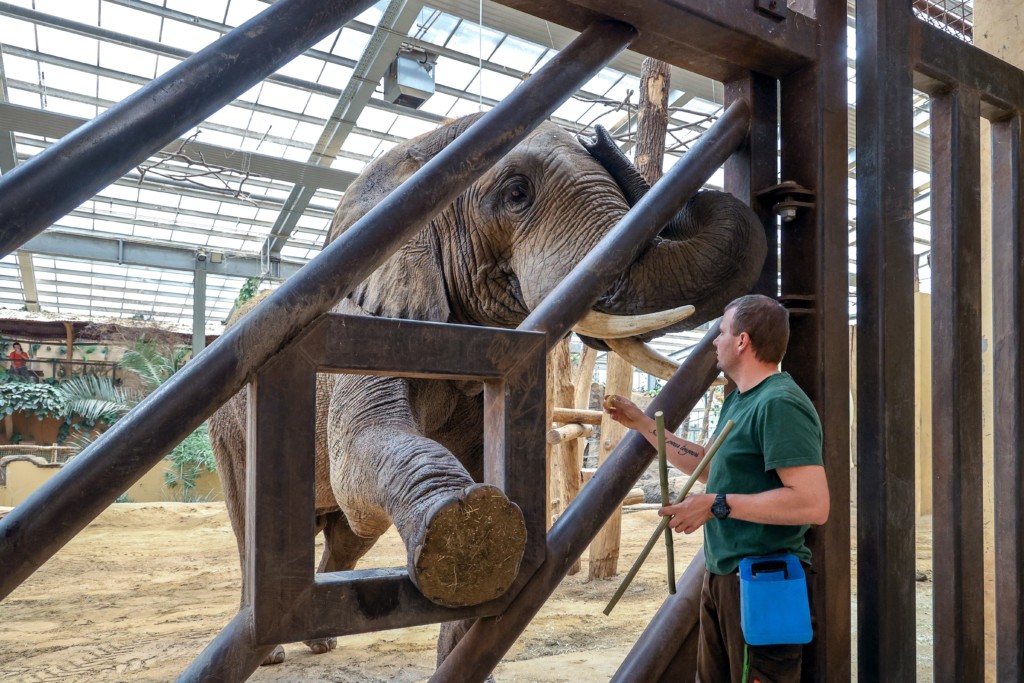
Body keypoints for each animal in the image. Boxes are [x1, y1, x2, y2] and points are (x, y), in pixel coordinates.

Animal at [209, 113, 770, 667]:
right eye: (516, 194)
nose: (599, 134)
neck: (412, 152)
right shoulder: (359, 325)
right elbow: (359, 449)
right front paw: (465, 523)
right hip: (229, 431)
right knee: (261, 524)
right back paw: (275, 651)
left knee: (351, 533)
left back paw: (321, 640)